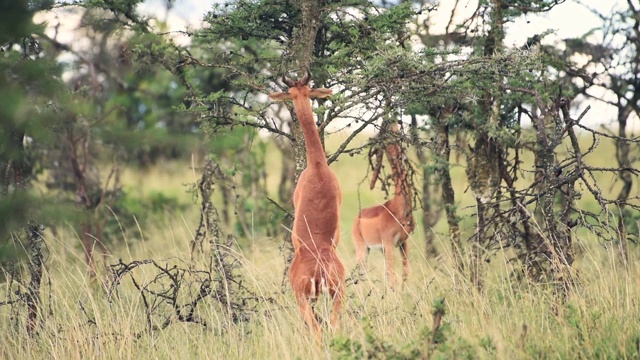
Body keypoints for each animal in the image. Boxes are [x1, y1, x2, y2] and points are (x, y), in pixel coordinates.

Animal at [268, 71, 344, 342]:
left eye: (292, 94)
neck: (318, 166)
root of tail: (319, 272)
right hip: (338, 295)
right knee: (333, 325)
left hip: (303, 300)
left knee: (318, 331)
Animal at [350, 122, 416, 288]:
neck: (398, 206)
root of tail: (357, 217)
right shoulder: (389, 244)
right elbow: (392, 278)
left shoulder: (403, 243)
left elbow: (405, 273)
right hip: (363, 249)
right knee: (359, 277)